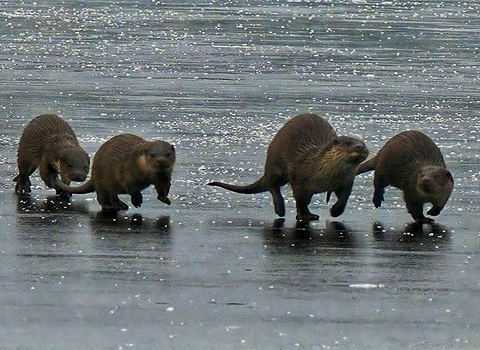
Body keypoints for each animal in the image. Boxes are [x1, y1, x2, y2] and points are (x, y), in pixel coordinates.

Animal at [208, 113, 370, 220]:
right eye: (348, 143)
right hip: (275, 165)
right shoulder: (300, 180)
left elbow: (344, 198)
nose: (361, 148)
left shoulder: (346, 181)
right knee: (272, 185)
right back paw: (280, 209)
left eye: (363, 143)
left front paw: (335, 211)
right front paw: (305, 216)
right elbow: (301, 200)